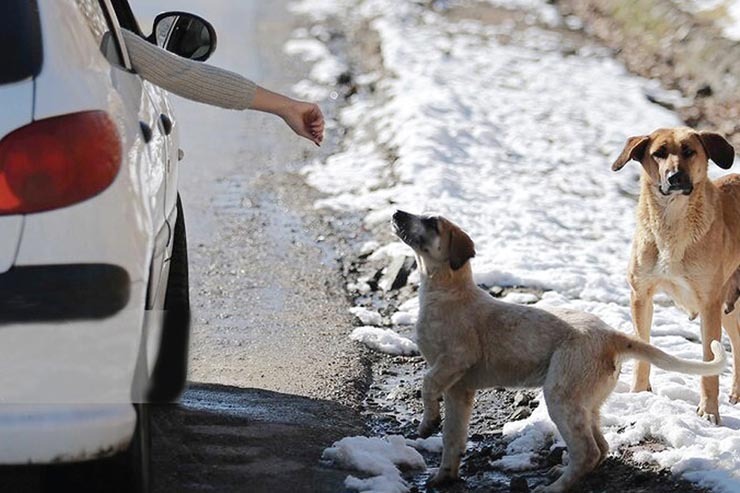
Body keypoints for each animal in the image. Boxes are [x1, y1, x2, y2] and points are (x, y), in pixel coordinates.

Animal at [390, 209, 724, 490]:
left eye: (431, 222)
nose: (396, 213)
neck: (448, 292)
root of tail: (610, 335)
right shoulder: (459, 390)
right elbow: (453, 438)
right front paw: (442, 476)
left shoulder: (455, 361)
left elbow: (426, 383)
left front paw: (427, 423)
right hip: (586, 402)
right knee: (600, 447)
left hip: (561, 396)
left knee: (588, 451)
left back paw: (555, 487)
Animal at [612, 127, 736, 422]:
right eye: (658, 153)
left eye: (689, 151)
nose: (675, 177)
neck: (672, 223)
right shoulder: (641, 295)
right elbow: (641, 349)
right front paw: (639, 394)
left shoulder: (709, 304)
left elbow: (709, 364)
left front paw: (709, 411)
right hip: (729, 305)